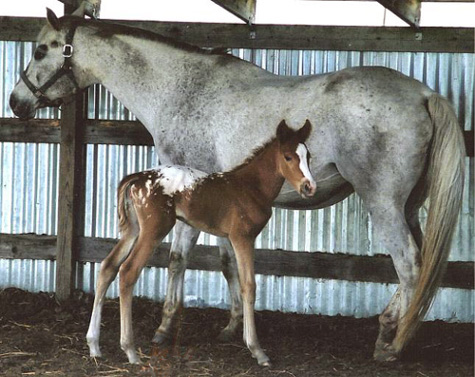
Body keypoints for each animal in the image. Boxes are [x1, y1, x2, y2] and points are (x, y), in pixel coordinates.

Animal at [85, 119, 318, 364]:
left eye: (308, 155)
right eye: (288, 157)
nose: (309, 187)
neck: (251, 187)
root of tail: (137, 178)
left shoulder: (233, 238)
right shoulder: (242, 237)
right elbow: (249, 285)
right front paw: (257, 350)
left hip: (132, 230)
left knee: (107, 267)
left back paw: (94, 345)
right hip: (153, 230)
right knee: (128, 271)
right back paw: (130, 350)